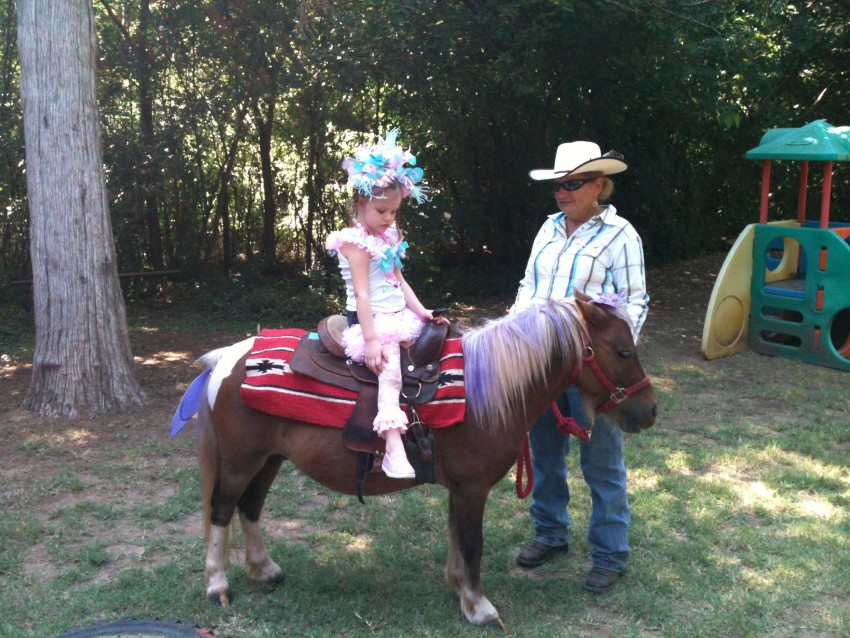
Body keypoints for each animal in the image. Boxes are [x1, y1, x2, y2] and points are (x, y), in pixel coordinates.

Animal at [187, 296, 657, 628]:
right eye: (623, 351)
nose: (648, 412)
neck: (487, 390)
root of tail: (226, 359)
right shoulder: (472, 488)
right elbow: (472, 542)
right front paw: (480, 606)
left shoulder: (460, 488)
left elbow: (456, 536)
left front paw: (459, 589)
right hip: (241, 461)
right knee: (222, 510)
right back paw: (217, 586)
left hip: (268, 460)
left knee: (250, 508)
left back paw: (264, 570)